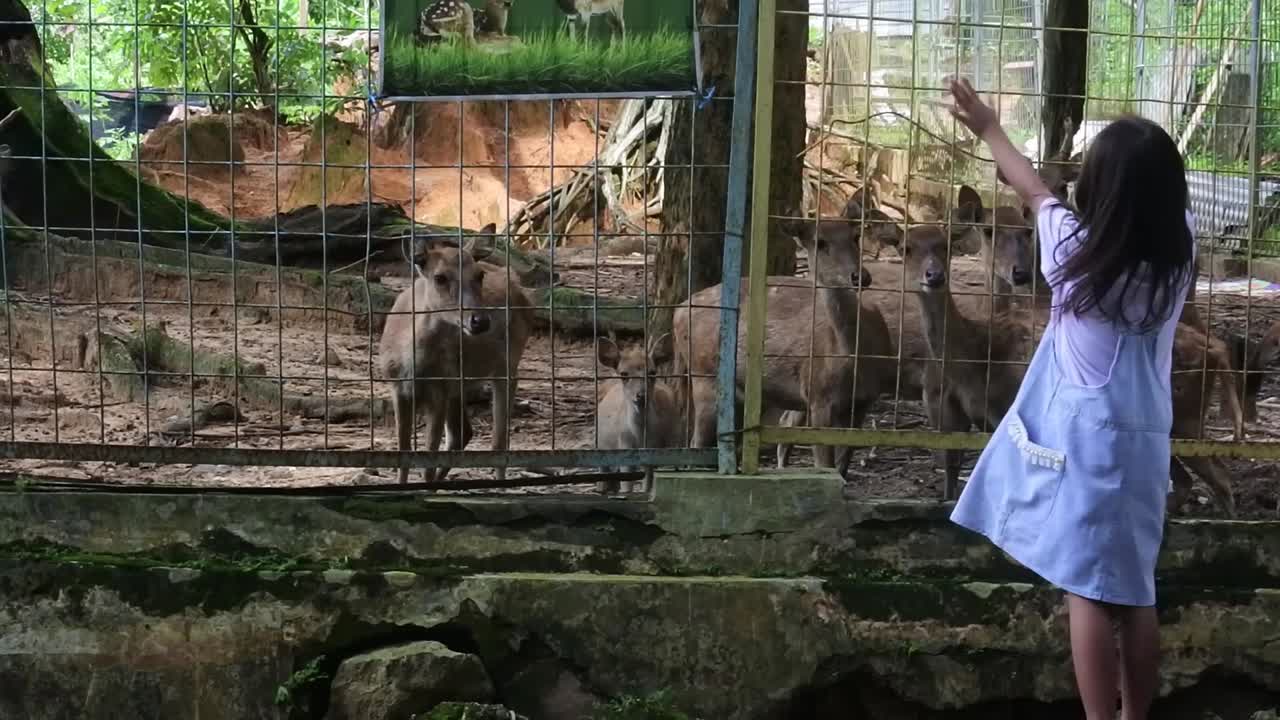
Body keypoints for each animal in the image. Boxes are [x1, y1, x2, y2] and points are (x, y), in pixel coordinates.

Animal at [379, 231, 533, 484]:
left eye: (479, 275)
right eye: (440, 277)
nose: (480, 320)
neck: (413, 366)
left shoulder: (439, 390)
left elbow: (428, 458)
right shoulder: (397, 387)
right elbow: (403, 452)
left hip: (507, 364)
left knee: (498, 441)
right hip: (460, 383)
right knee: (463, 434)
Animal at [593, 332, 679, 494]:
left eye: (652, 372)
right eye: (624, 374)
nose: (641, 395)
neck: (640, 437)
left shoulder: (655, 449)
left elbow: (648, 482)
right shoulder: (625, 446)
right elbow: (627, 486)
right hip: (601, 442)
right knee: (603, 465)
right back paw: (602, 488)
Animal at [670, 211, 896, 475]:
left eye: (855, 237)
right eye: (819, 242)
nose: (860, 276)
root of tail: (679, 311)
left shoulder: (865, 400)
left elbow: (842, 467)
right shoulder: (818, 395)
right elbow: (825, 464)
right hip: (704, 377)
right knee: (697, 441)